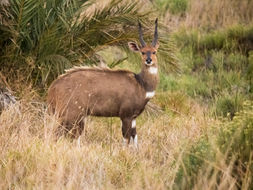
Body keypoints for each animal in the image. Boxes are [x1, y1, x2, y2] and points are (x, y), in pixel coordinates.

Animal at [46, 18, 159, 148]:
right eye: (143, 52)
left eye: (154, 52)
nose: (148, 60)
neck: (141, 85)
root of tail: (53, 88)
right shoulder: (125, 115)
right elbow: (126, 138)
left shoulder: (134, 117)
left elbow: (134, 138)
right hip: (71, 114)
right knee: (58, 134)